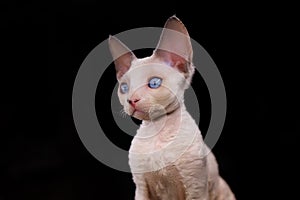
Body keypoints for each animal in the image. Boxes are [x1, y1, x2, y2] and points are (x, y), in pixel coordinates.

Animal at [108, 16, 234, 200]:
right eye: (124, 88)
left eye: (154, 83)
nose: (131, 100)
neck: (157, 129)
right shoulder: (141, 187)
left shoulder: (195, 187)